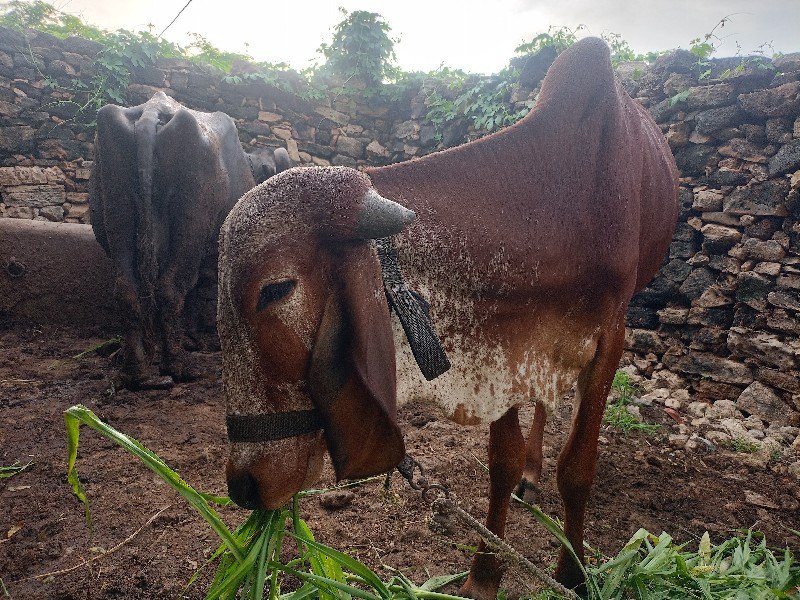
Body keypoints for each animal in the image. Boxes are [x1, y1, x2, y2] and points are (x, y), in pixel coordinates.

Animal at [90, 91, 290, 386]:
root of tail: (152, 112)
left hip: (118, 208)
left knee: (129, 290)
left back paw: (135, 367)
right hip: (190, 222)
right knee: (169, 289)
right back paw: (178, 366)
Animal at [217, 37, 676, 596]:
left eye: (276, 289)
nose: (243, 483)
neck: (557, 198)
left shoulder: (610, 339)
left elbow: (577, 469)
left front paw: (573, 575)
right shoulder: (503, 347)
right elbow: (501, 464)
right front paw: (484, 573)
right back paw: (532, 472)